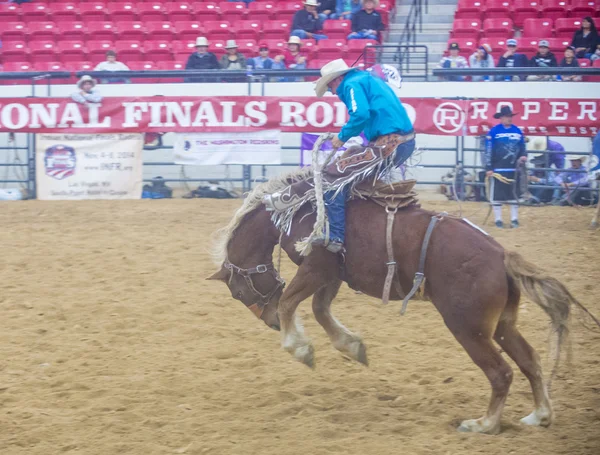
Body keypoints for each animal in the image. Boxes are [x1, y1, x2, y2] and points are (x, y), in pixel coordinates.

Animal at [207, 170, 600, 434]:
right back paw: (540, 415)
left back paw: (484, 423)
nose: (270, 321)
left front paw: (300, 347)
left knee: (501, 372)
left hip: (469, 328)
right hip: (502, 324)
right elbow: (320, 309)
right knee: (530, 361)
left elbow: (292, 301)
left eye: (239, 292)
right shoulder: (333, 273)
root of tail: (503, 256)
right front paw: (352, 346)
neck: (296, 211)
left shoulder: (317, 267)